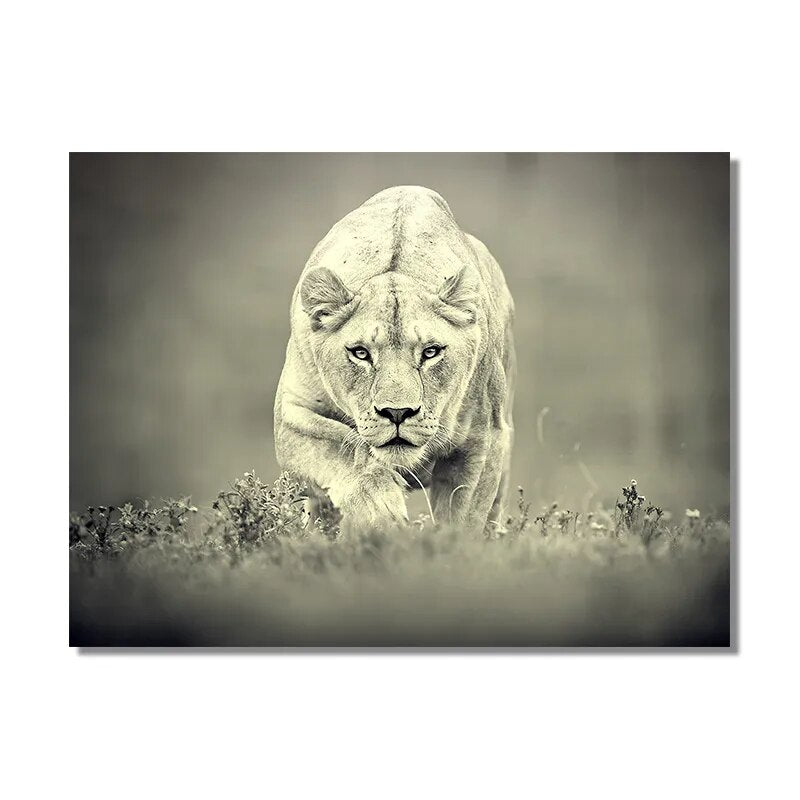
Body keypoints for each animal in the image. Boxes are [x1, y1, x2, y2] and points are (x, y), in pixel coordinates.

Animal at [274, 186, 515, 532]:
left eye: (431, 352)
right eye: (360, 353)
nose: (397, 413)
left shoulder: (483, 437)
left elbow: (462, 519)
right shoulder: (291, 416)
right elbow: (342, 446)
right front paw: (380, 509)